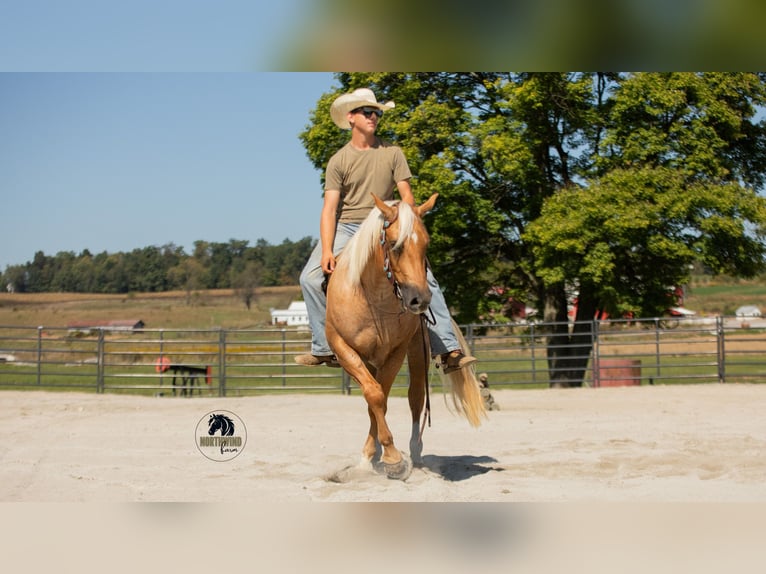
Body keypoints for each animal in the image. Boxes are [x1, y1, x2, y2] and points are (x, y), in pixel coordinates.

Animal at [325, 192, 485, 480]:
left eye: (426, 244)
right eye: (394, 245)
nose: (419, 299)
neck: (373, 299)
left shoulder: (396, 352)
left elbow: (382, 398)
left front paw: (392, 458)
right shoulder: (345, 350)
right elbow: (374, 397)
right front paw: (377, 456)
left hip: (417, 351)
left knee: (416, 398)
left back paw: (415, 451)